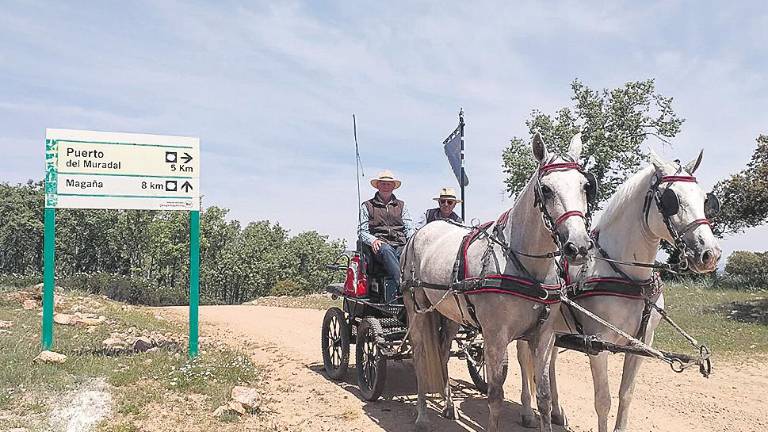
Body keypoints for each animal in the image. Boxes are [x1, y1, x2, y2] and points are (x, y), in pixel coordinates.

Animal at [404, 133, 596, 430]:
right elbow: (495, 396)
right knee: (421, 354)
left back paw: (448, 406)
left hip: (450, 314)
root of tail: (420, 232)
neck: (527, 267)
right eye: (546, 189)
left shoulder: (544, 336)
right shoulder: (495, 336)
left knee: (443, 352)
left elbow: (543, 395)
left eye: (585, 186)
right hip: (417, 310)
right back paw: (423, 415)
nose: (579, 247)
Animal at [520, 149, 724, 432]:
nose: (709, 254)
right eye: (671, 199)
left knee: (549, 363)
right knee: (523, 361)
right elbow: (603, 401)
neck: (630, 279)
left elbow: (626, 395)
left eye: (705, 200)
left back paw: (557, 412)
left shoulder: (642, 344)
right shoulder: (597, 344)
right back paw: (527, 411)